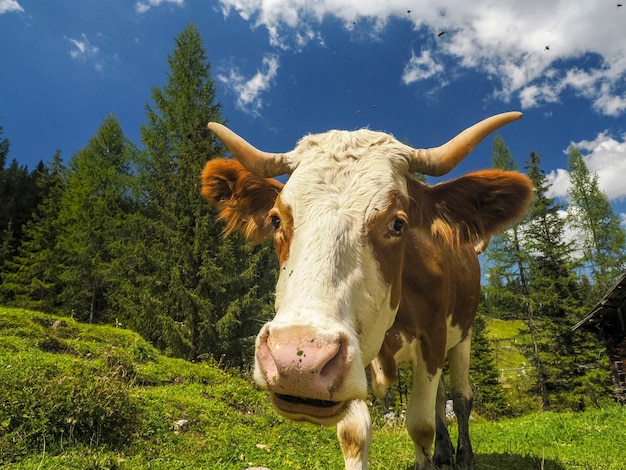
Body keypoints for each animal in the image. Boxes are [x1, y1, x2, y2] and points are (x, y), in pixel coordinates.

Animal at [200, 114, 532, 470]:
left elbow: (421, 424)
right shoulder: (359, 353)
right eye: (276, 220)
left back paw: (463, 455)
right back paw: (443, 453)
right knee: (441, 398)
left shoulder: (433, 336)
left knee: (460, 397)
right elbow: (355, 433)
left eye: (398, 223)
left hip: (464, 334)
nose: (298, 362)